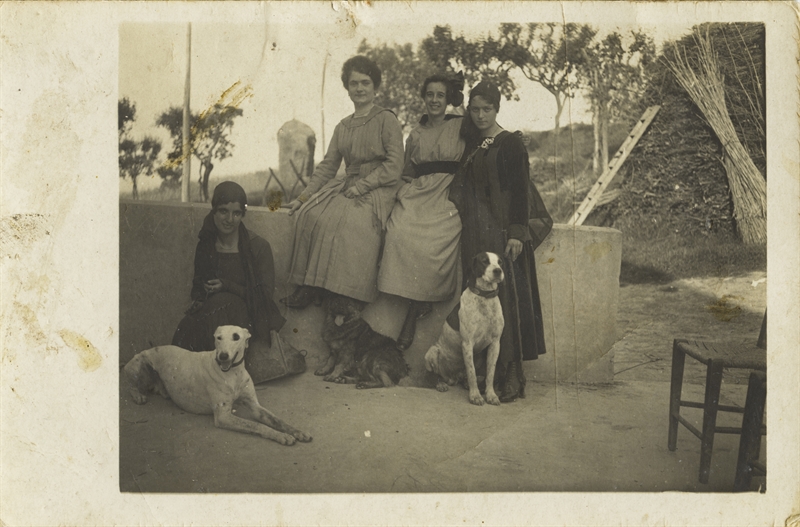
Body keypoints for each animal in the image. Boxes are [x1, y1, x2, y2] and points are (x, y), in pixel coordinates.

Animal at [124, 325, 312, 445]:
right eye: (218, 337)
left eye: (236, 337)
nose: (222, 356)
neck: (233, 373)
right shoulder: (224, 416)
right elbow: (258, 425)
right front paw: (281, 436)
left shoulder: (255, 406)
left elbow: (277, 420)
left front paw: (296, 431)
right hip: (138, 364)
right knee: (130, 384)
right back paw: (138, 395)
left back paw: (163, 390)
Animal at [424, 252, 505, 406]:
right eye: (484, 261)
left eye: (500, 262)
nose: (498, 270)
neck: (485, 298)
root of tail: (452, 378)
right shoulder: (467, 343)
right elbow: (471, 372)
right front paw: (475, 396)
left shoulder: (495, 343)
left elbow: (490, 373)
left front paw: (491, 395)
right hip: (432, 351)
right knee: (432, 377)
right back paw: (440, 384)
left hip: (479, 356)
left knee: (465, 377)